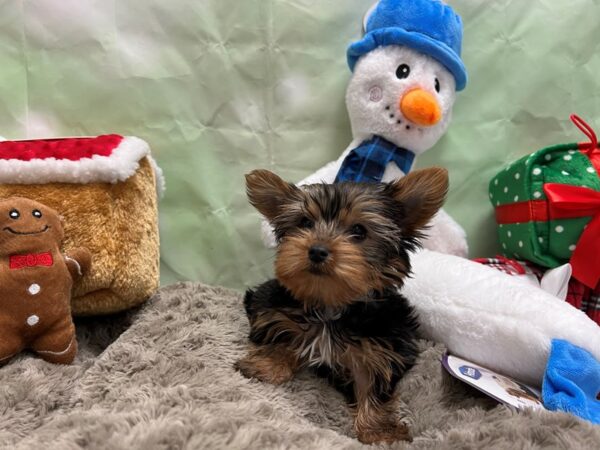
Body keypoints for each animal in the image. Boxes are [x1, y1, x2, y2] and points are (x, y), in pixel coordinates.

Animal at [237, 168, 448, 442]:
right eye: (305, 223)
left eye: (359, 231)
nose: (317, 250)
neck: (330, 304)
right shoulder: (272, 309)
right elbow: (283, 336)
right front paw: (266, 365)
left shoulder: (382, 347)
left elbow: (374, 384)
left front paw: (379, 429)